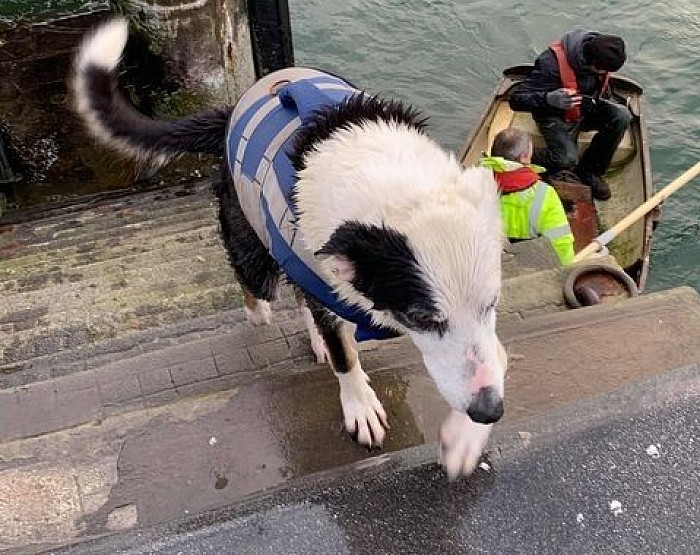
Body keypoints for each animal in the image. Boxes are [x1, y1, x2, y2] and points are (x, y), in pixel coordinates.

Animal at [74, 17, 506, 478]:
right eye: (420, 316)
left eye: (491, 304)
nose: (489, 411)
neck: (391, 180)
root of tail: (230, 110)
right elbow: (344, 357)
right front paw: (360, 406)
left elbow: (492, 355)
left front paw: (465, 437)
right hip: (253, 245)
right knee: (263, 286)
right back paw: (263, 313)